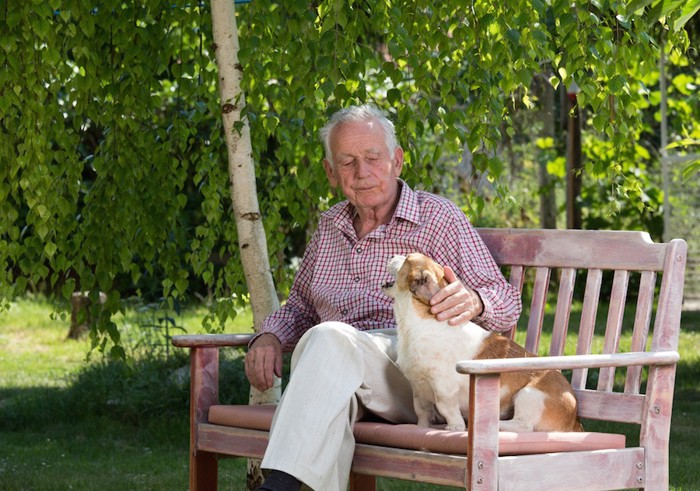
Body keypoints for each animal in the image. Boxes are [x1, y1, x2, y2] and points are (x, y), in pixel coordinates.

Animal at [380, 254, 584, 434]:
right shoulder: (418, 388)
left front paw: (455, 427)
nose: (393, 256)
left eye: (407, 258)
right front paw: (421, 427)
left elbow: (447, 409)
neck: (418, 325)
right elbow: (422, 412)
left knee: (523, 426)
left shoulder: (444, 388)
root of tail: (574, 422)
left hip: (528, 396)